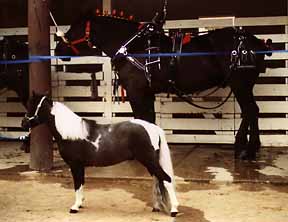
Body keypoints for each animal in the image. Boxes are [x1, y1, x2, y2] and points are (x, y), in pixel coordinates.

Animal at [22, 92, 179, 217]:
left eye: (32, 105)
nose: (23, 123)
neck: (70, 132)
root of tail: (153, 127)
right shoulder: (80, 166)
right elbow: (81, 183)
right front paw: (80, 204)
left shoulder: (75, 165)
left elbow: (77, 184)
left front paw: (75, 207)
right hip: (150, 162)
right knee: (158, 181)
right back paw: (157, 207)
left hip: (149, 160)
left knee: (166, 179)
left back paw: (174, 210)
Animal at [54, 11, 272, 160]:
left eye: (74, 29)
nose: (57, 49)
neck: (134, 47)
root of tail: (256, 42)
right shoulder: (146, 92)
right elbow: (149, 118)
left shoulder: (136, 92)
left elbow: (142, 118)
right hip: (243, 86)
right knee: (252, 111)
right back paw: (248, 147)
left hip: (241, 84)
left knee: (250, 110)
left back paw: (246, 149)